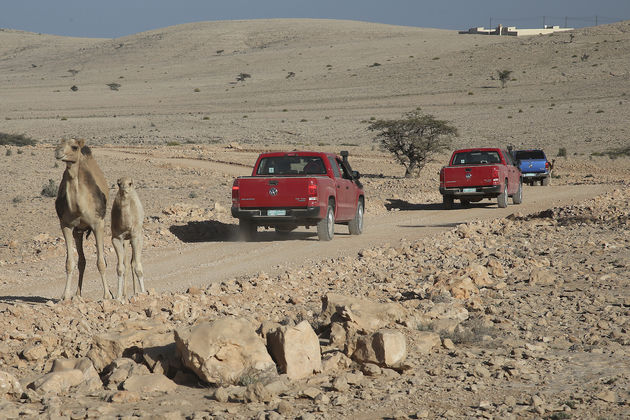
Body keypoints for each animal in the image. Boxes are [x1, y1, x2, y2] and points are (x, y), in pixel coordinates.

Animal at [55, 139, 113, 300]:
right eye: (59, 144)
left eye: (74, 147)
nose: (58, 152)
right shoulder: (66, 225)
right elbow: (69, 262)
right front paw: (65, 295)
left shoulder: (98, 223)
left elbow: (101, 262)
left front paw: (107, 295)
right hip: (78, 231)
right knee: (82, 260)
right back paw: (78, 294)